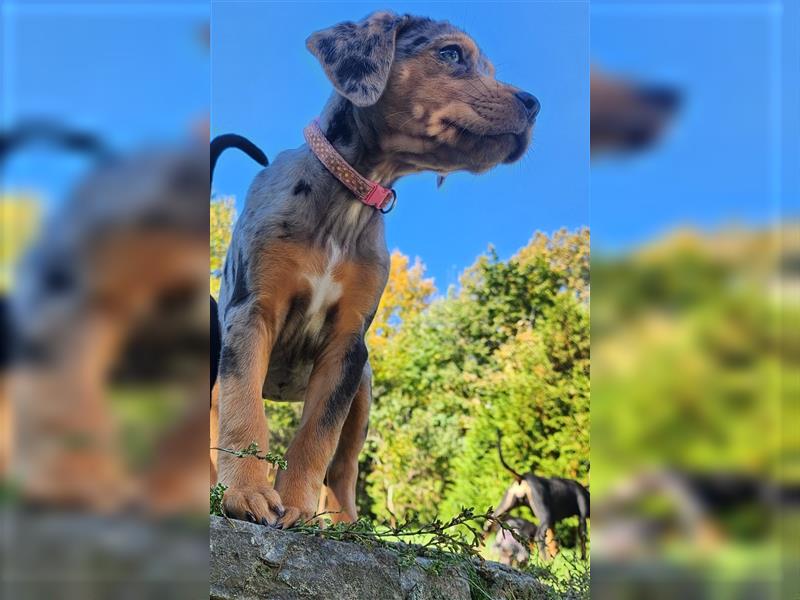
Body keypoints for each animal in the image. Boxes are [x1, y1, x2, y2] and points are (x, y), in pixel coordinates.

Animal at [212, 11, 536, 528]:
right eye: (451, 54)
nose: (534, 104)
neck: (350, 198)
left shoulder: (347, 346)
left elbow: (316, 437)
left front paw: (297, 507)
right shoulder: (251, 313)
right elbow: (243, 414)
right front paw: (246, 494)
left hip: (362, 391)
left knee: (344, 467)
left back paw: (345, 522)